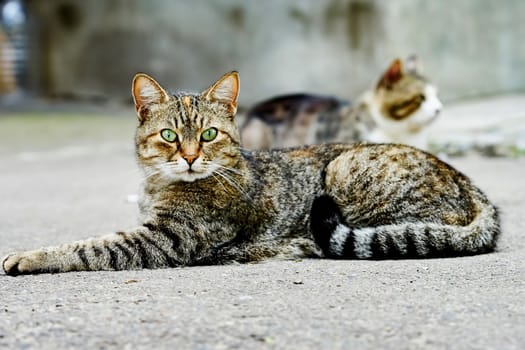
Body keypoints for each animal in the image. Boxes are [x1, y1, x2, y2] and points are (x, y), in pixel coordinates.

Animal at [3, 72, 496, 276]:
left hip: (344, 170)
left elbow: (90, 247)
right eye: (169, 135)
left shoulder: (163, 239)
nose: (189, 157)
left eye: (208, 134)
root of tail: (473, 187)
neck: (159, 185)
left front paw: (29, 256)